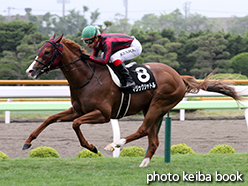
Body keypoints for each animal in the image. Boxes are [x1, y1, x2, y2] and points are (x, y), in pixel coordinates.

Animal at [24, 33, 239, 167]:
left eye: (47, 52)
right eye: (41, 49)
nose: (30, 71)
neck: (88, 78)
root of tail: (178, 76)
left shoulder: (102, 114)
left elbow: (76, 124)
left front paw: (92, 147)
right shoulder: (78, 110)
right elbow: (50, 118)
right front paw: (27, 142)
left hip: (159, 103)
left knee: (143, 130)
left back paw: (115, 145)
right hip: (152, 108)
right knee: (153, 140)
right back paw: (144, 162)